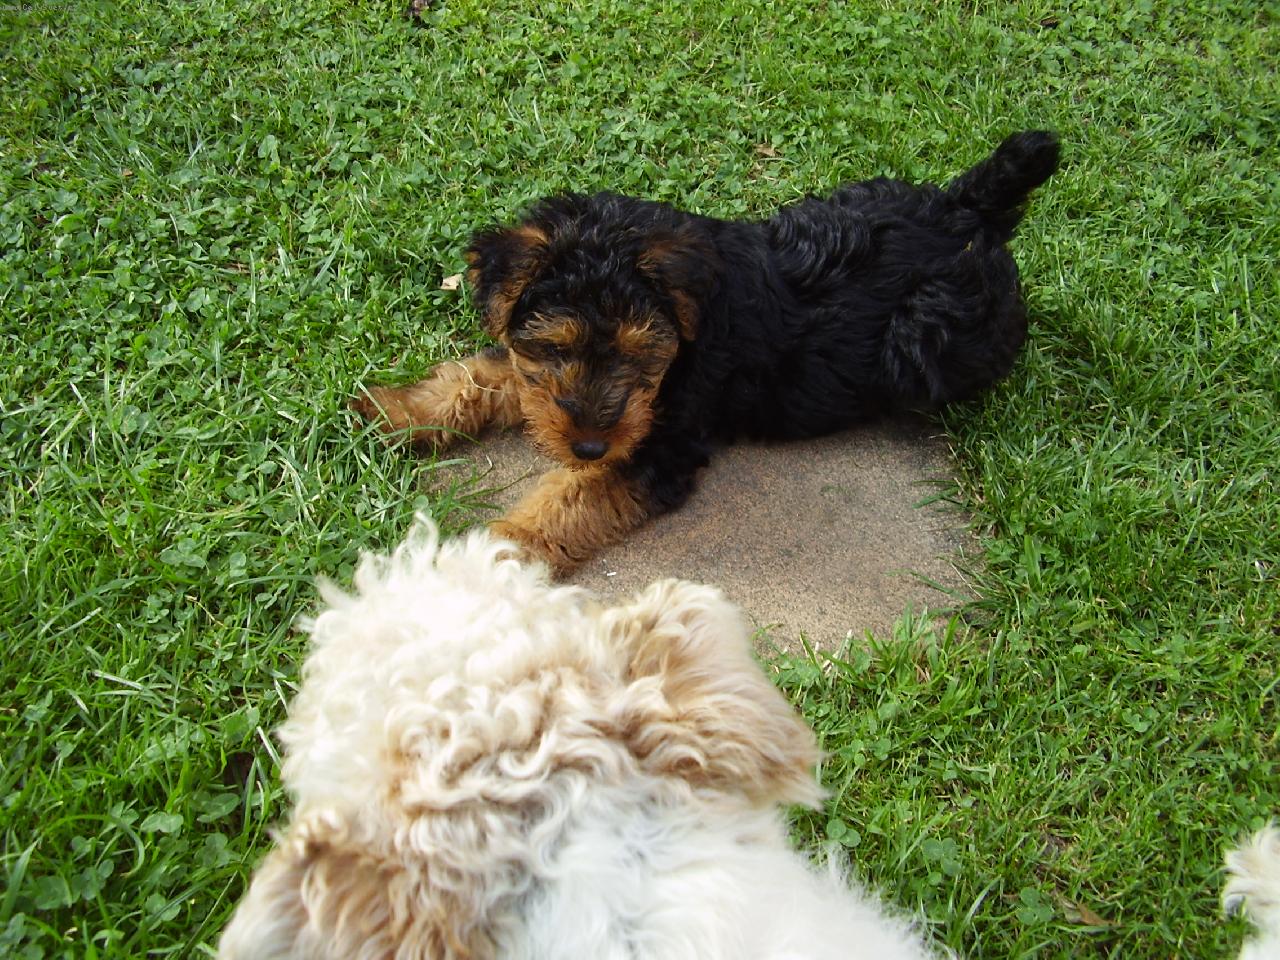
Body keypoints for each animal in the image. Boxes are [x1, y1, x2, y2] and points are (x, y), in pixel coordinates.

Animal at [353, 131, 1059, 573]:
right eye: (556, 346)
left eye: (640, 353)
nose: (588, 446)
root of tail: (970, 215)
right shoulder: (534, 377)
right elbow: (479, 378)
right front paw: (392, 411)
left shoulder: (659, 449)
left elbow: (568, 501)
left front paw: (497, 548)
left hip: (927, 337)